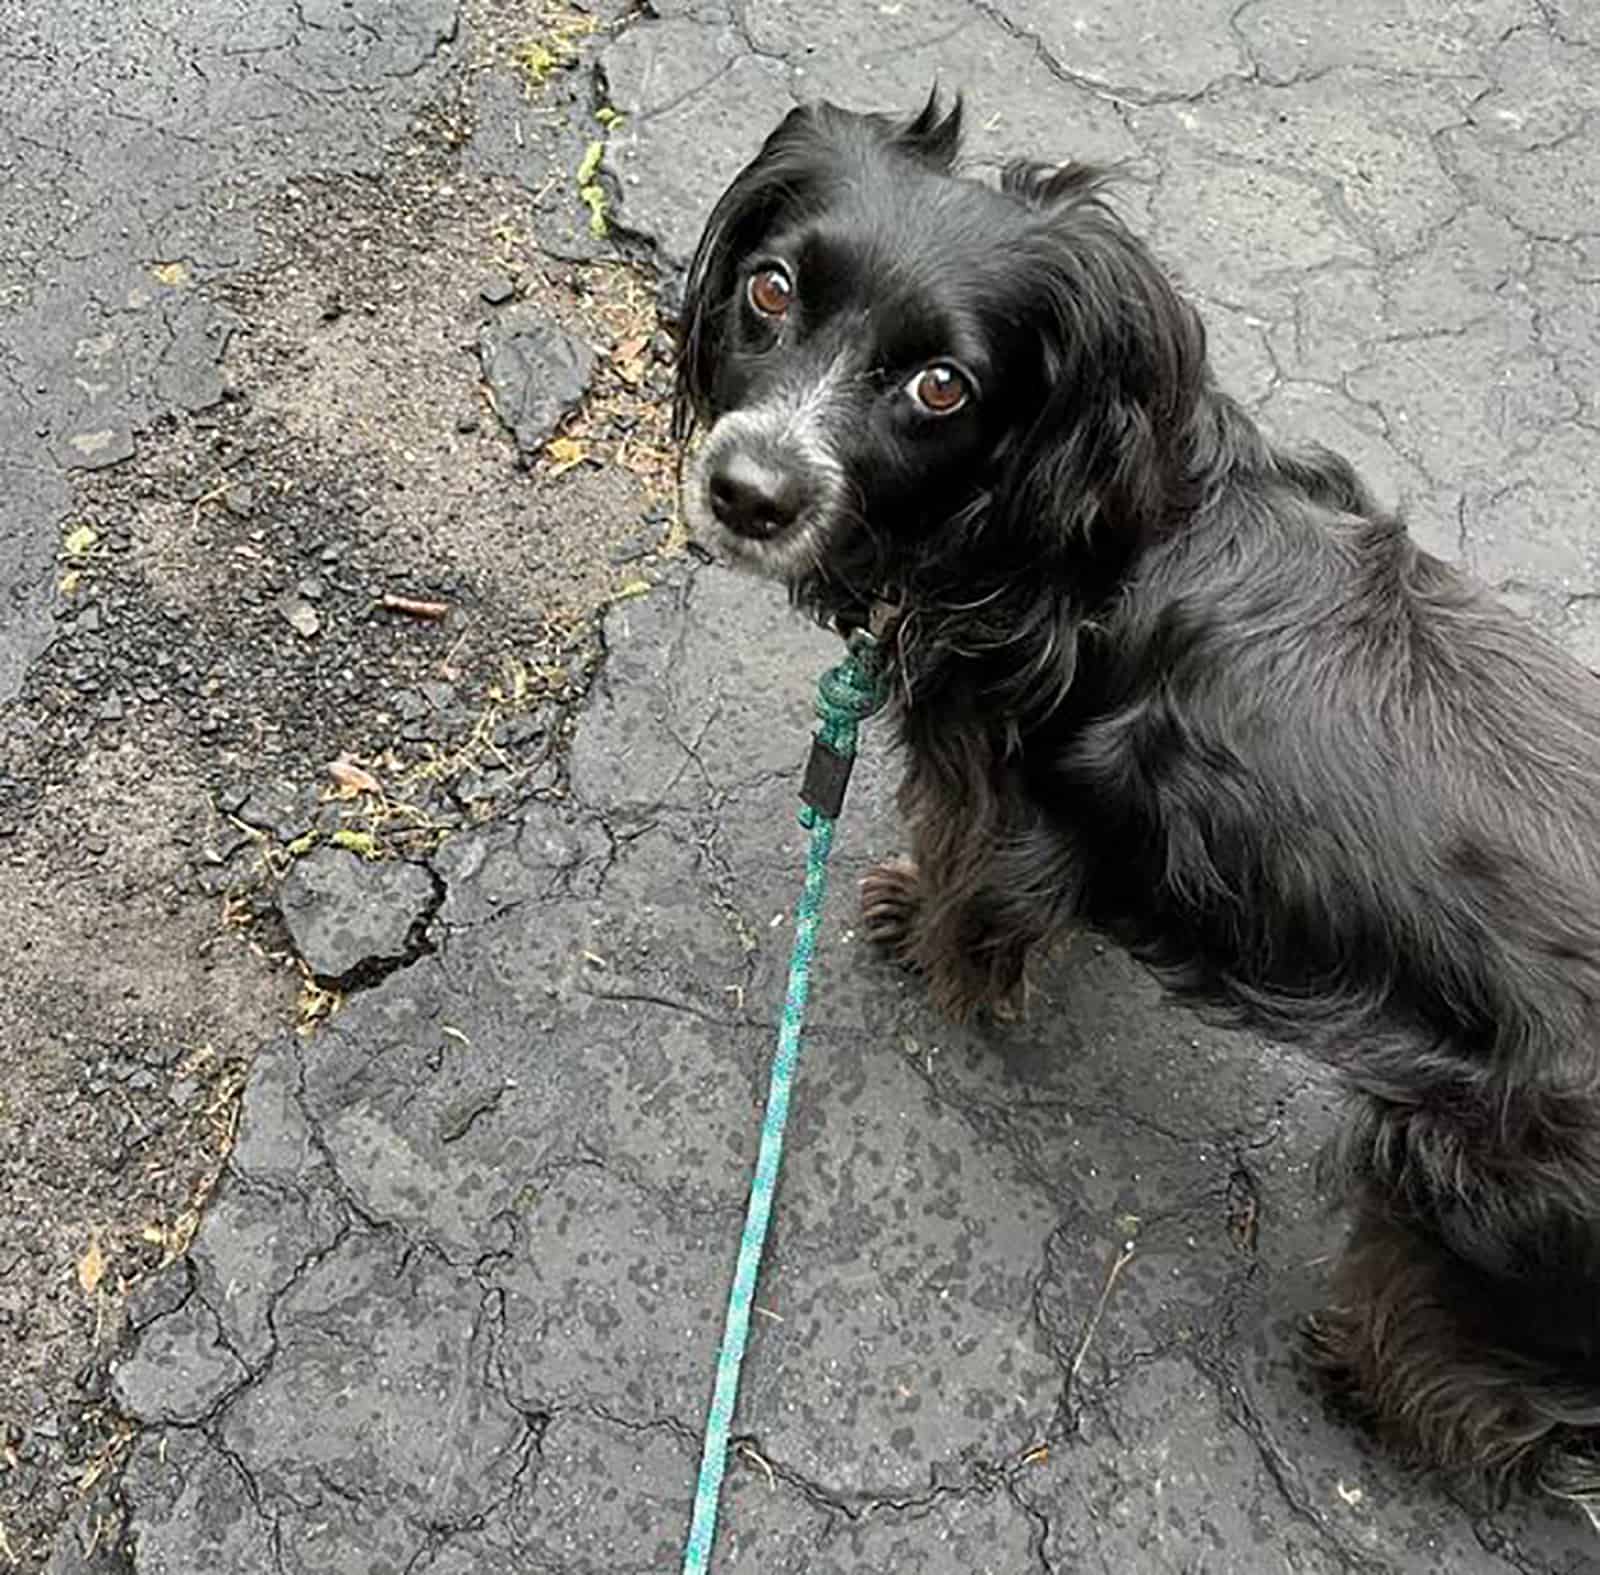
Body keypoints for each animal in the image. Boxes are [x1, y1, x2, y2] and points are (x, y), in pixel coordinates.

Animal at [672, 95, 1600, 1510]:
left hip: (1472, 1200)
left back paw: (1364, 1387)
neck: (1058, 527)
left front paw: (924, 939)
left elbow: (975, 892)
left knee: (1482, 1383)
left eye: (941, 386)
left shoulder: (1008, 802)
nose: (749, 495)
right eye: (769, 290)